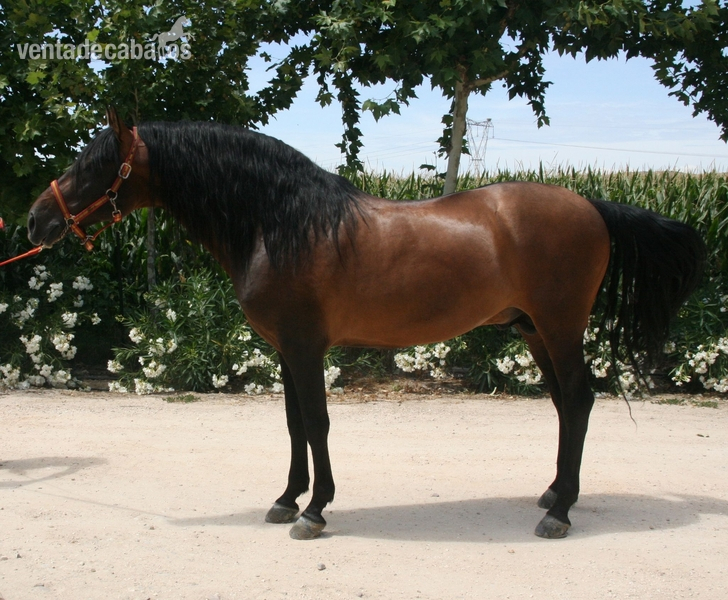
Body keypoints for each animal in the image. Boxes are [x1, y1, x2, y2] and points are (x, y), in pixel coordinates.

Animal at [26, 108, 706, 540]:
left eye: (93, 165)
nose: (35, 221)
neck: (281, 223)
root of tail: (590, 204)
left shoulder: (306, 346)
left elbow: (318, 423)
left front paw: (315, 510)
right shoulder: (286, 349)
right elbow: (294, 424)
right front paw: (286, 499)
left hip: (560, 326)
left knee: (581, 400)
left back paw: (560, 513)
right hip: (533, 329)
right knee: (566, 404)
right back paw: (554, 493)